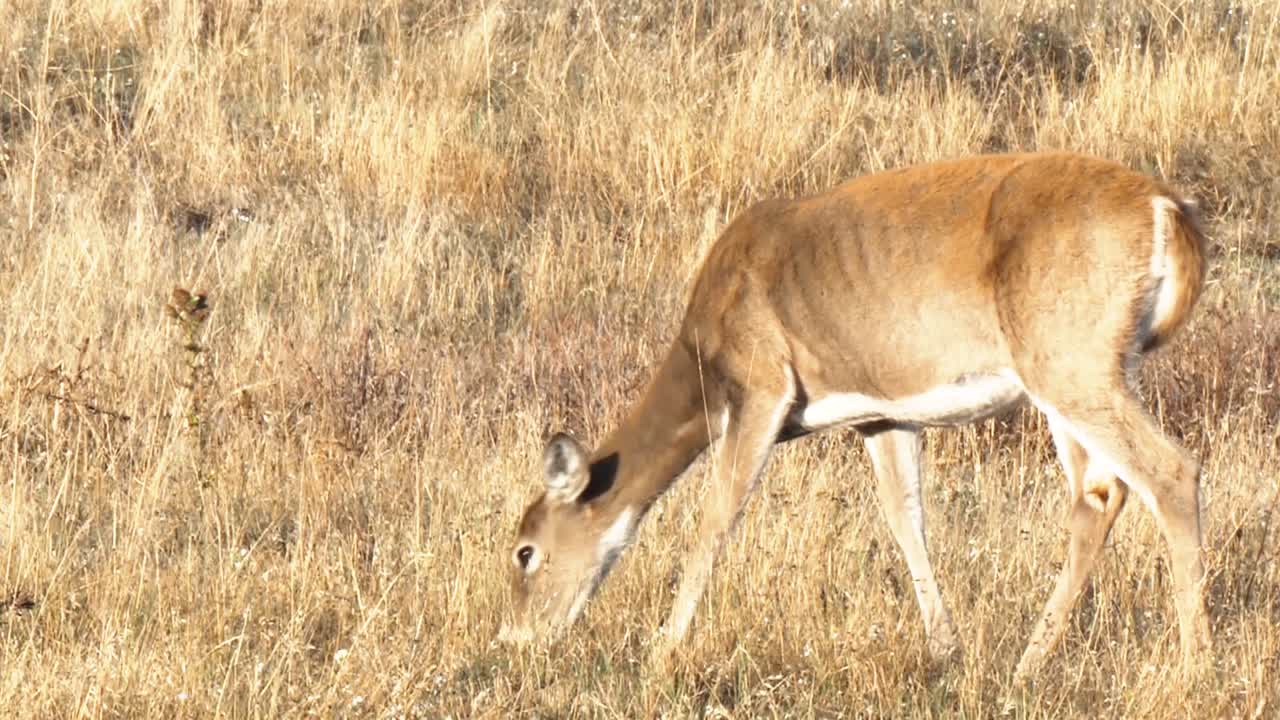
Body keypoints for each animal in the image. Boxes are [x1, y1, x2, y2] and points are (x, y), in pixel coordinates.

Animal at [501, 152, 1212, 678]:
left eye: (524, 551)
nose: (516, 639)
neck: (703, 356)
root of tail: (1167, 210)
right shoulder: (880, 415)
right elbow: (905, 519)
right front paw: (945, 649)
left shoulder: (762, 385)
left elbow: (716, 520)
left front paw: (661, 650)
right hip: (1078, 371)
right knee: (1099, 494)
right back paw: (1027, 666)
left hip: (1071, 361)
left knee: (1170, 471)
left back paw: (1192, 669)